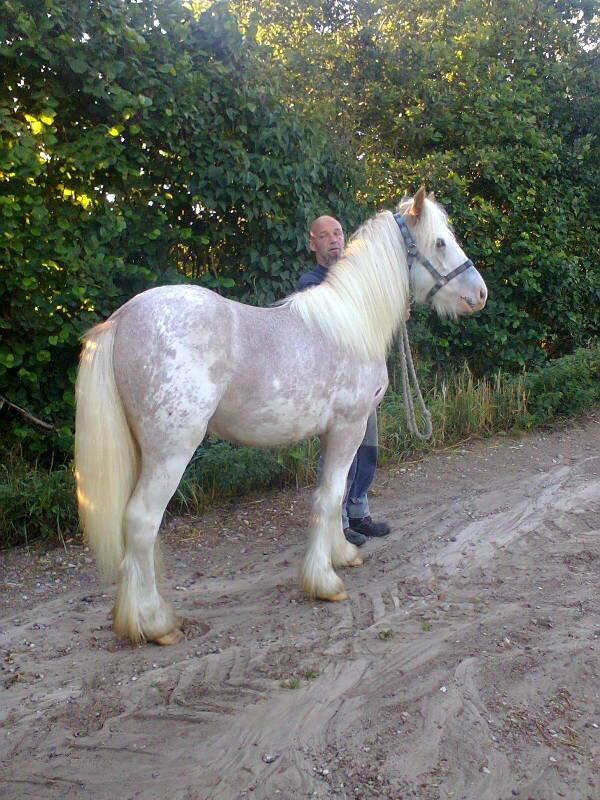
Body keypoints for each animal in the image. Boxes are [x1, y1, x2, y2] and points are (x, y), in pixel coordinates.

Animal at [75, 191, 488, 648]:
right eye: (439, 243)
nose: (480, 293)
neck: (352, 324)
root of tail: (122, 319)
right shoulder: (349, 427)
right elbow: (329, 497)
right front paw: (324, 583)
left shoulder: (334, 433)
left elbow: (334, 494)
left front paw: (342, 554)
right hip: (171, 452)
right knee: (141, 522)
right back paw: (156, 623)